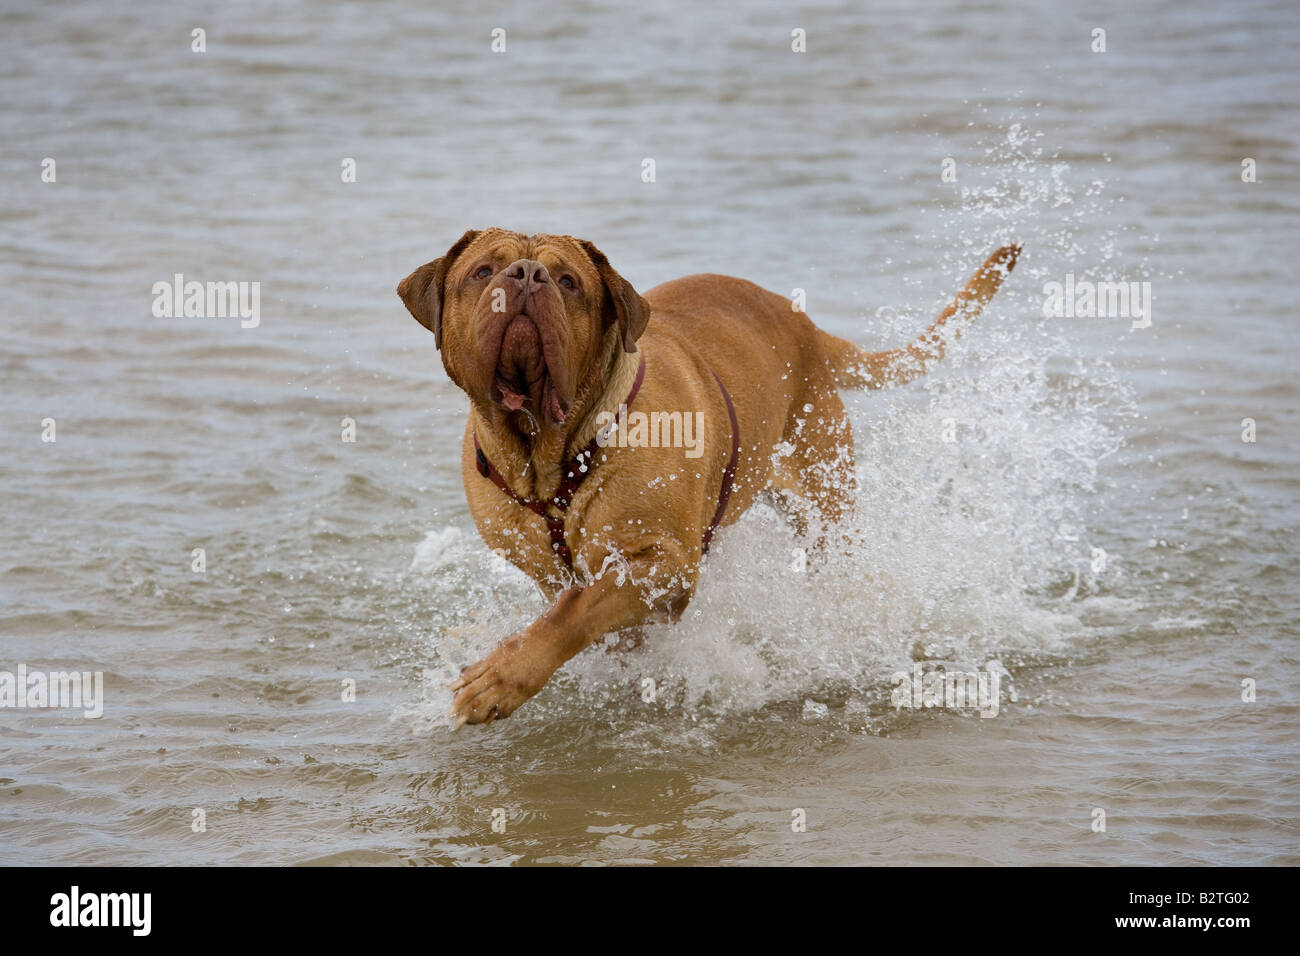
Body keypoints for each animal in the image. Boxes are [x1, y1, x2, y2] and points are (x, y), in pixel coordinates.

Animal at [395, 230, 1013, 723]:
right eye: (482, 271)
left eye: (568, 281)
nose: (527, 275)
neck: (548, 456)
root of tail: (808, 327)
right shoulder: (552, 569)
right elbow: (576, 607)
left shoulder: (665, 563)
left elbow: (572, 614)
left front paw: (498, 678)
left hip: (826, 507)